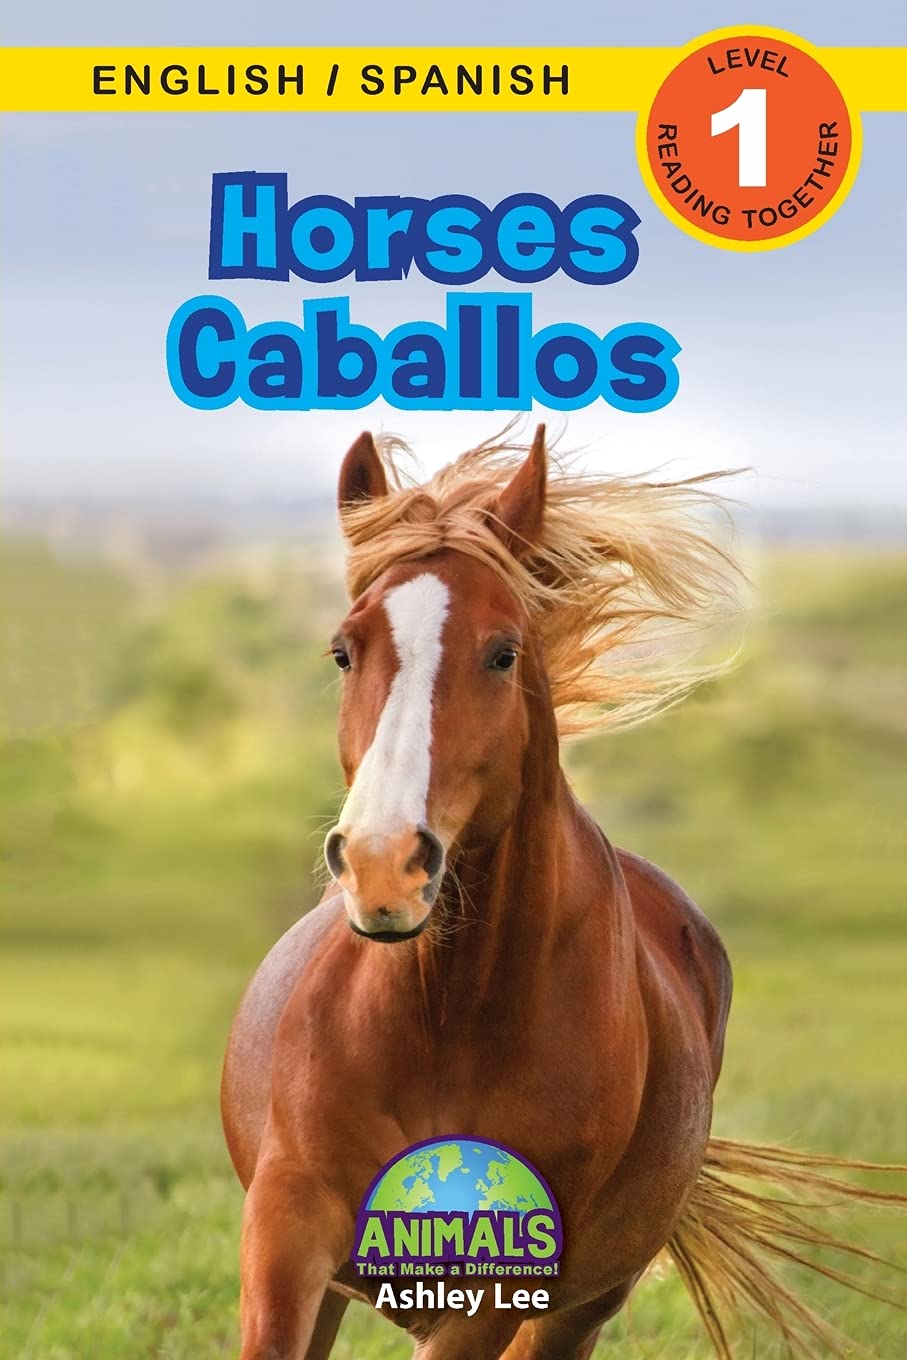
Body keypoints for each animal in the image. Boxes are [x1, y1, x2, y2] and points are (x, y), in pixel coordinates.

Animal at [222, 427, 903, 1360]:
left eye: (503, 651)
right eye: (342, 650)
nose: (382, 865)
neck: (441, 1022)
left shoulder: (493, 1291)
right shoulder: (288, 1234)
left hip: (578, 1306)